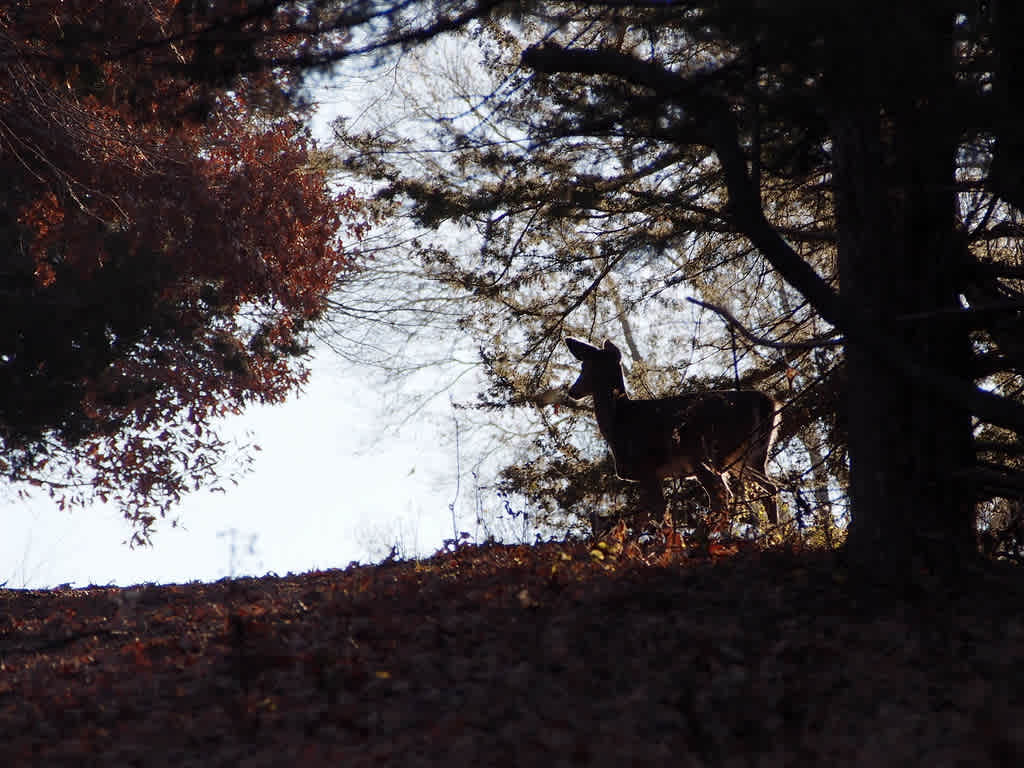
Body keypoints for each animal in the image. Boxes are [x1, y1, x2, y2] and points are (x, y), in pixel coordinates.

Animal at [565, 339, 778, 536]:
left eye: (587, 367)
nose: (572, 391)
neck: (620, 422)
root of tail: (766, 402)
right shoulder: (650, 475)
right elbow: (644, 518)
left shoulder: (646, 467)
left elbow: (658, 514)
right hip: (749, 456)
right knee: (769, 488)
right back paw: (774, 533)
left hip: (705, 451)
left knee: (722, 496)